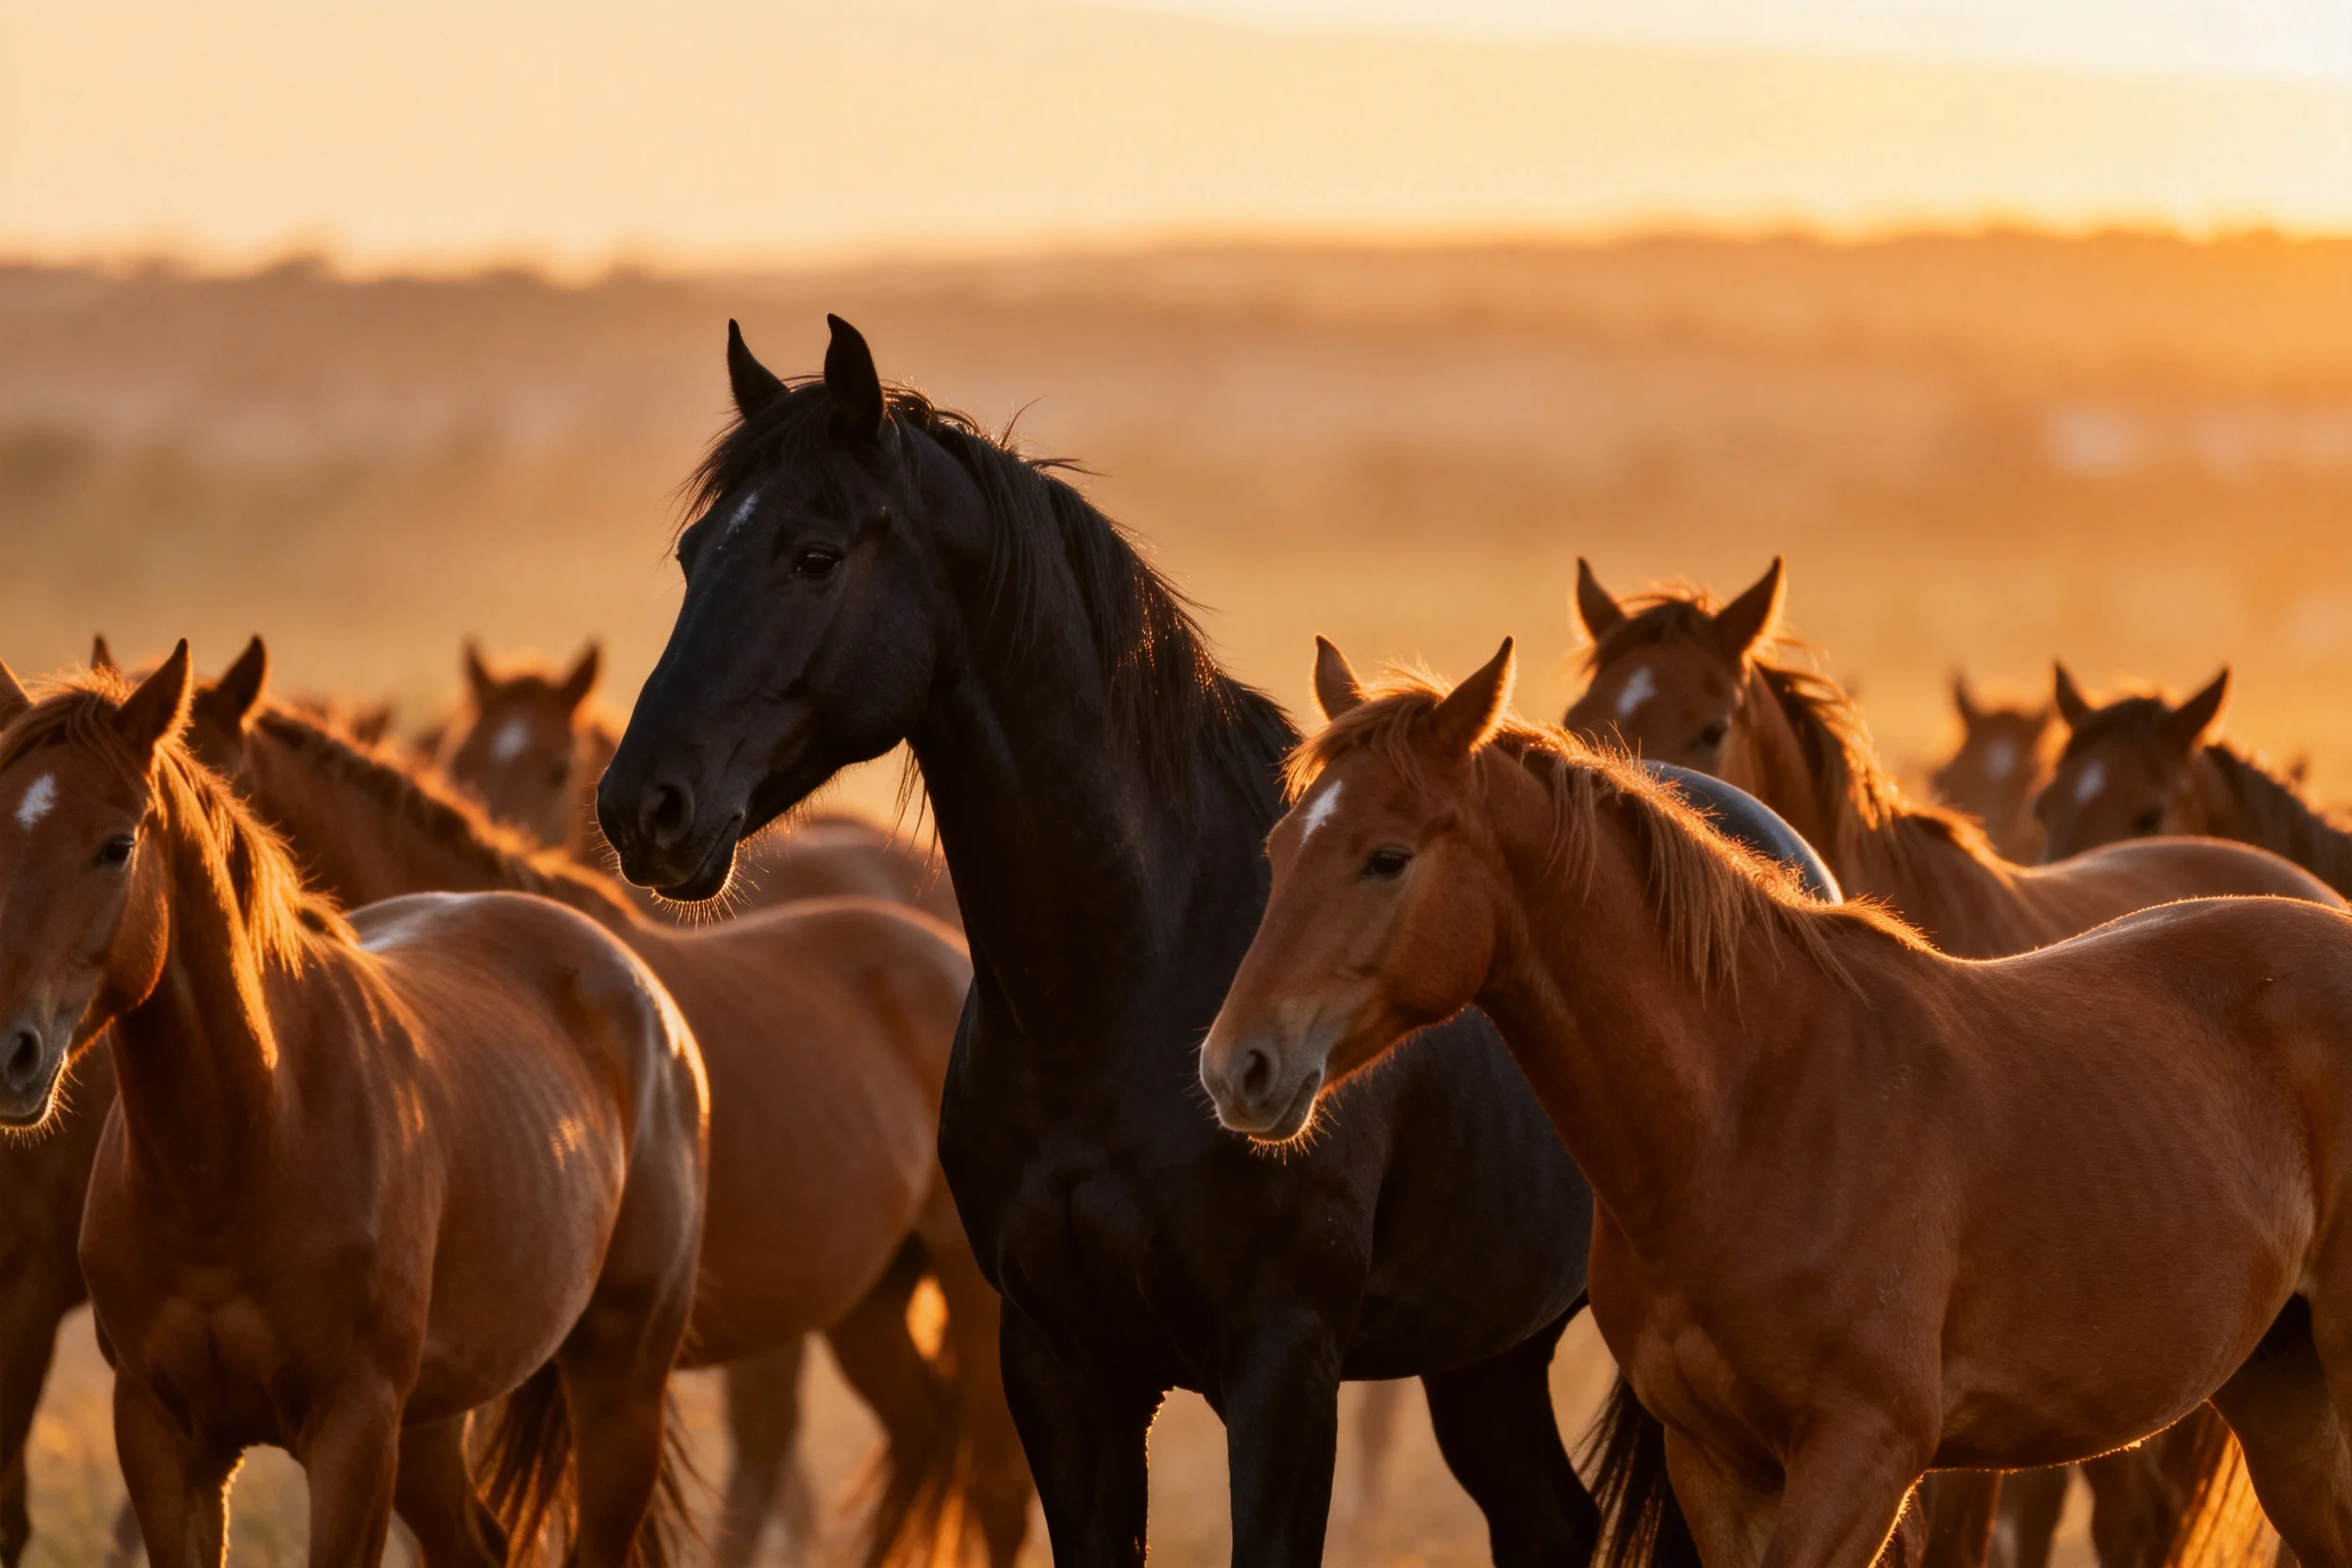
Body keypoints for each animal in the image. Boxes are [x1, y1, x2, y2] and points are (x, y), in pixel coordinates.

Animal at [0, 645, 706, 1568]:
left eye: (116, 847)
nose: (7, 1047)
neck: (243, 1146)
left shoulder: (353, 1433)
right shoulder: (162, 1438)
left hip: (619, 1388)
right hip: (434, 1421)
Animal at [593, 314, 1614, 1567]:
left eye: (816, 557)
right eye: (696, 556)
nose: (644, 806)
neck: (1127, 986)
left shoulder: (1282, 1369)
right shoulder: (1060, 1367)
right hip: (1490, 1350)